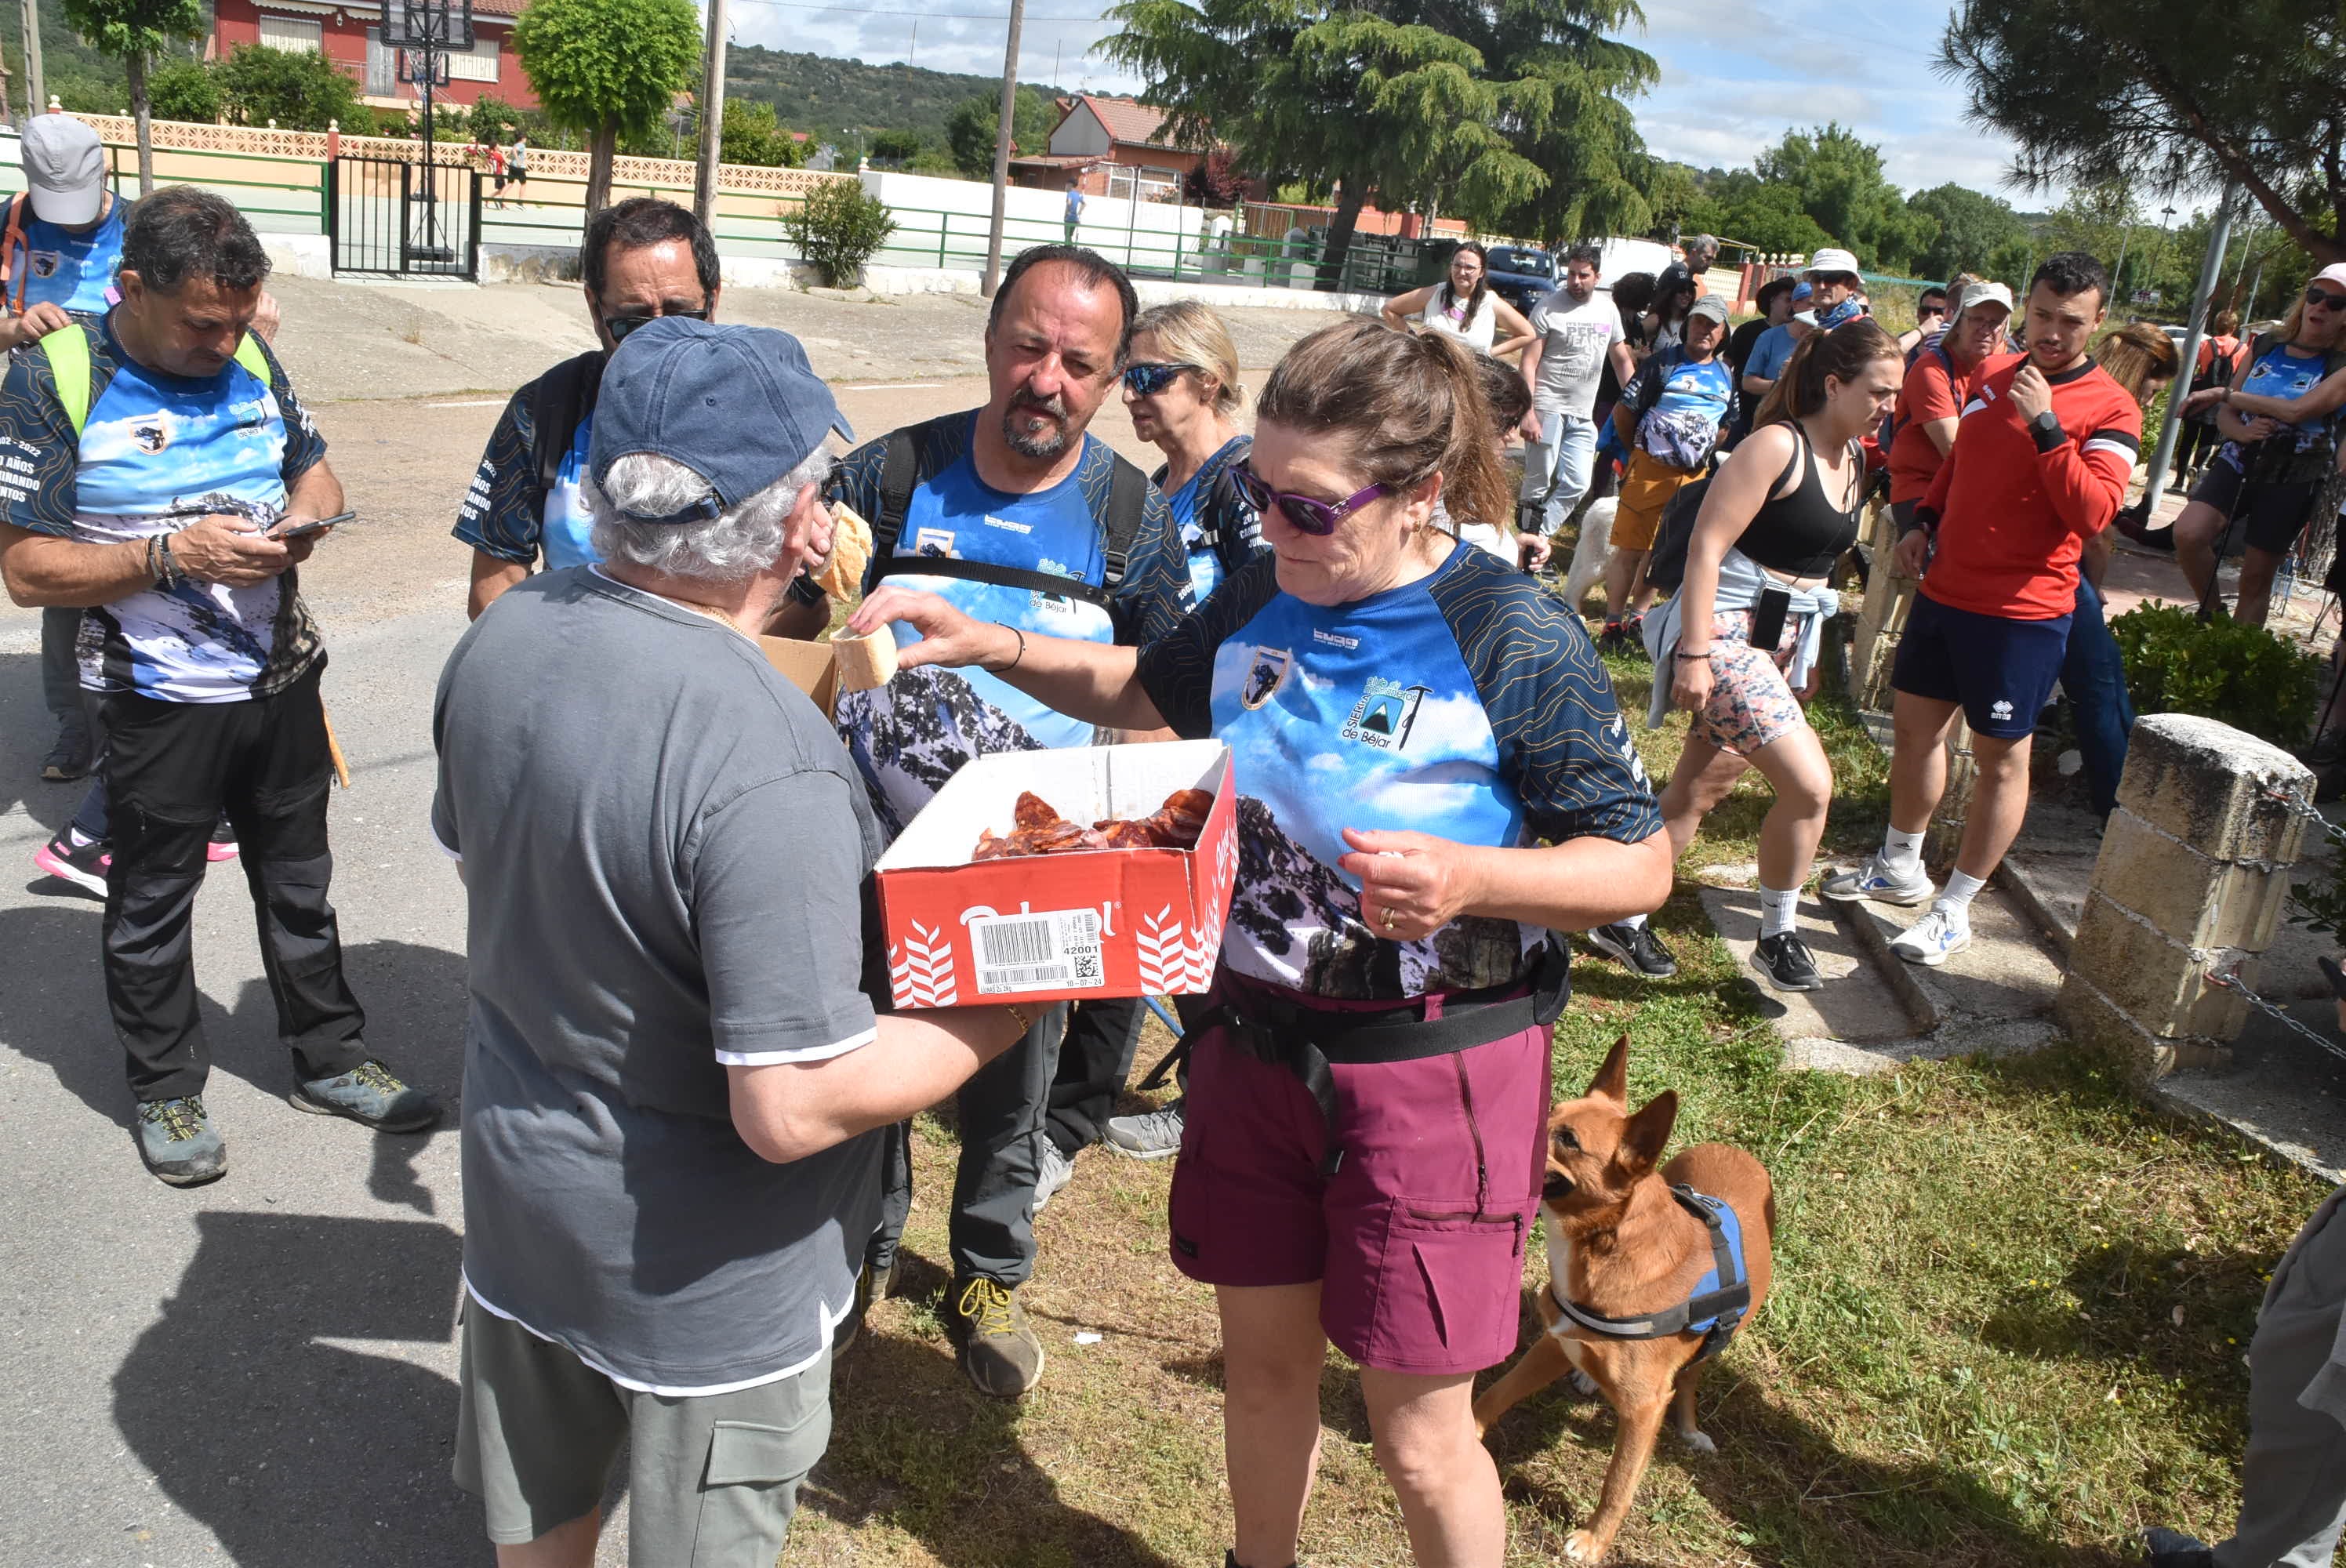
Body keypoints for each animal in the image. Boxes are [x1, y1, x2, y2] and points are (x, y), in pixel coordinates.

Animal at [1473, 1033, 1763, 1559]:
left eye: (1569, 1140)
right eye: (1551, 1106)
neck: (1605, 1245)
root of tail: (1738, 1152)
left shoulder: (1644, 1409)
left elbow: (1619, 1482)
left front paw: (1593, 1540)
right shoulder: (1555, 1342)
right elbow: (1498, 1392)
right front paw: (1467, 1431)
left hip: (1717, 1343)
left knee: (1690, 1378)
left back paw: (1690, 1429)